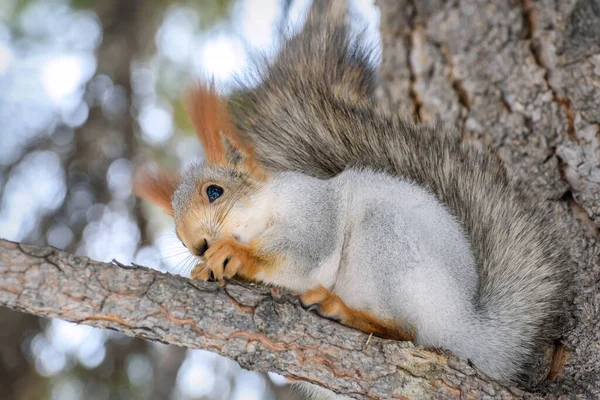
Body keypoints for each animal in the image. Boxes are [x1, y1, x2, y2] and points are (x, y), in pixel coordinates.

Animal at [135, 0, 572, 390]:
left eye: (215, 191)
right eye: (178, 237)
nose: (198, 245)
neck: (261, 213)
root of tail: (471, 329)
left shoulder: (313, 208)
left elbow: (304, 251)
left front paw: (236, 255)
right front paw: (204, 268)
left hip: (388, 243)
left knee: (409, 331)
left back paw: (343, 310)